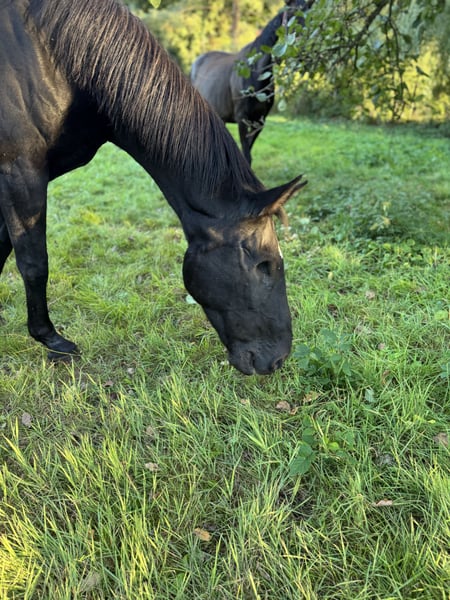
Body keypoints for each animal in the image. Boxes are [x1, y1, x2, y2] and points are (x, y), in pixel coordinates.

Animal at [191, 0, 308, 164]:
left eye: (310, 11)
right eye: (291, 13)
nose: (303, 44)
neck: (255, 74)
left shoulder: (259, 122)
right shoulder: (243, 119)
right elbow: (246, 155)